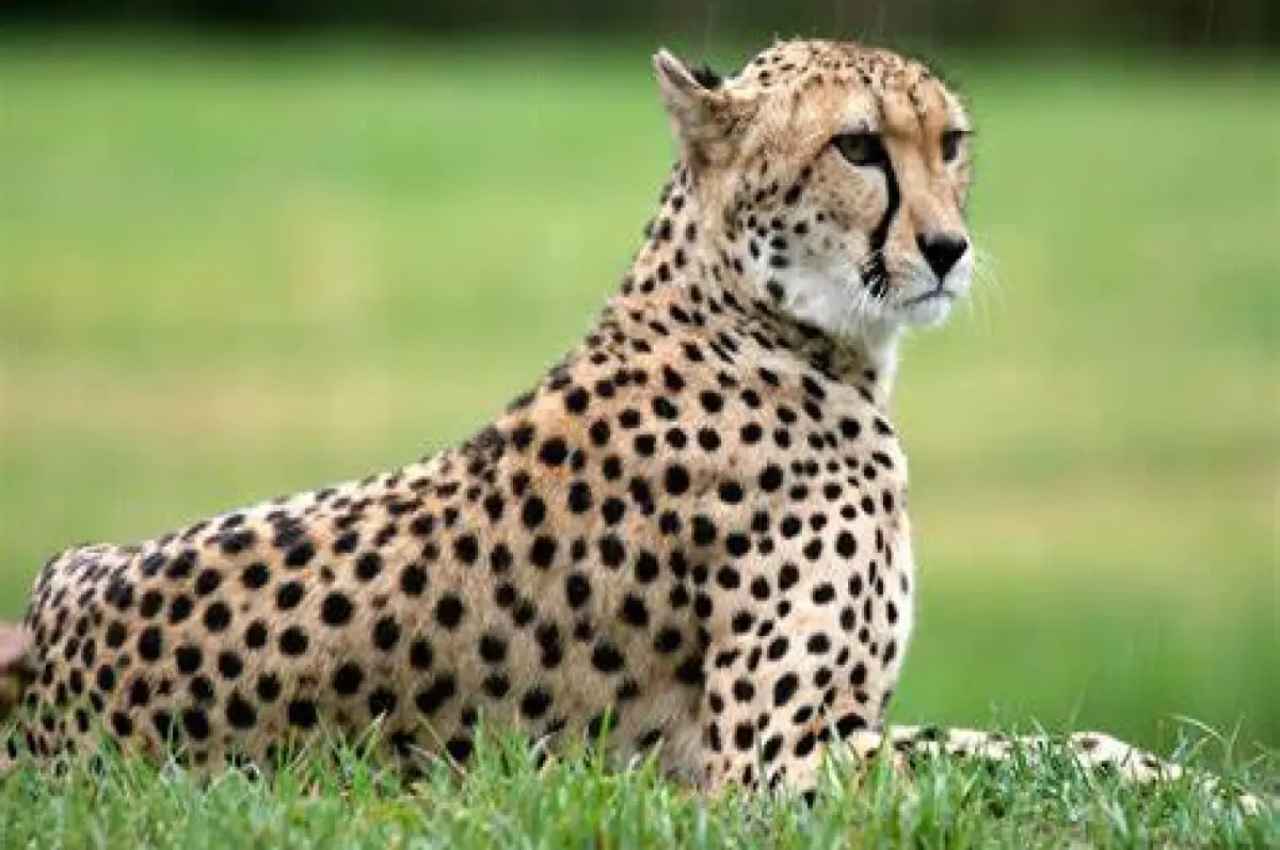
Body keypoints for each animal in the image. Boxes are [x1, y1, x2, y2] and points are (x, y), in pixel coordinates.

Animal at [0, 39, 1263, 811]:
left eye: (947, 145)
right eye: (857, 147)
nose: (948, 249)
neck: (763, 322)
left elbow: (1047, 743)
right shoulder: (765, 763)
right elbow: (1030, 753)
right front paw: (1217, 792)